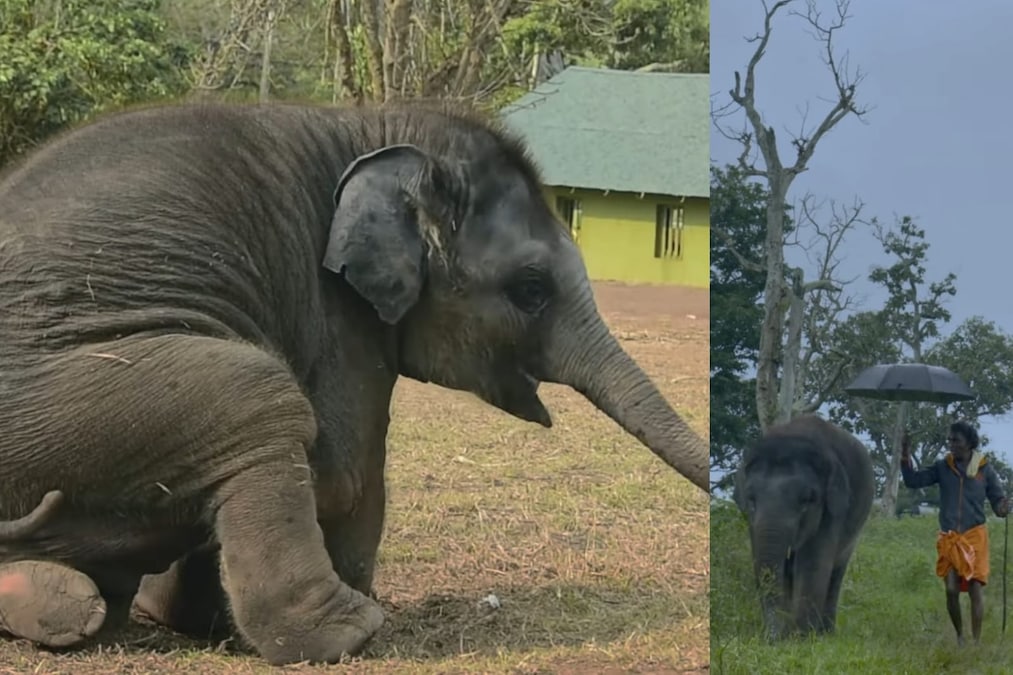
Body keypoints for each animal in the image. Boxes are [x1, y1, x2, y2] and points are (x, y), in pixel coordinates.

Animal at [0, 100, 708, 665]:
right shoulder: (337, 307)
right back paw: (352, 630)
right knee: (257, 392)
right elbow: (345, 475)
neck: (372, 123)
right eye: (530, 290)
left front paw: (193, 618)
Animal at [733, 414, 874, 639]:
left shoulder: (831, 511)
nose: (772, 639)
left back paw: (826, 633)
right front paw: (785, 635)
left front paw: (802, 638)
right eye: (751, 499)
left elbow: (812, 565)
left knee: (835, 573)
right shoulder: (752, 522)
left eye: (806, 500)